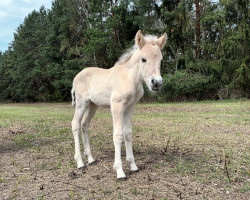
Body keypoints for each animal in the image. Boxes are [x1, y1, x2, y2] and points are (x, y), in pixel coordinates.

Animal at [71, 30, 167, 180]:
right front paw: (120, 171)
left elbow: (128, 133)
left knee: (84, 125)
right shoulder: (117, 106)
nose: (156, 83)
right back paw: (80, 163)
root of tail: (77, 76)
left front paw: (133, 166)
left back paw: (91, 159)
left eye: (161, 60)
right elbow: (118, 135)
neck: (130, 78)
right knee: (75, 124)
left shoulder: (130, 107)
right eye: (143, 59)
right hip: (81, 103)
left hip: (93, 105)